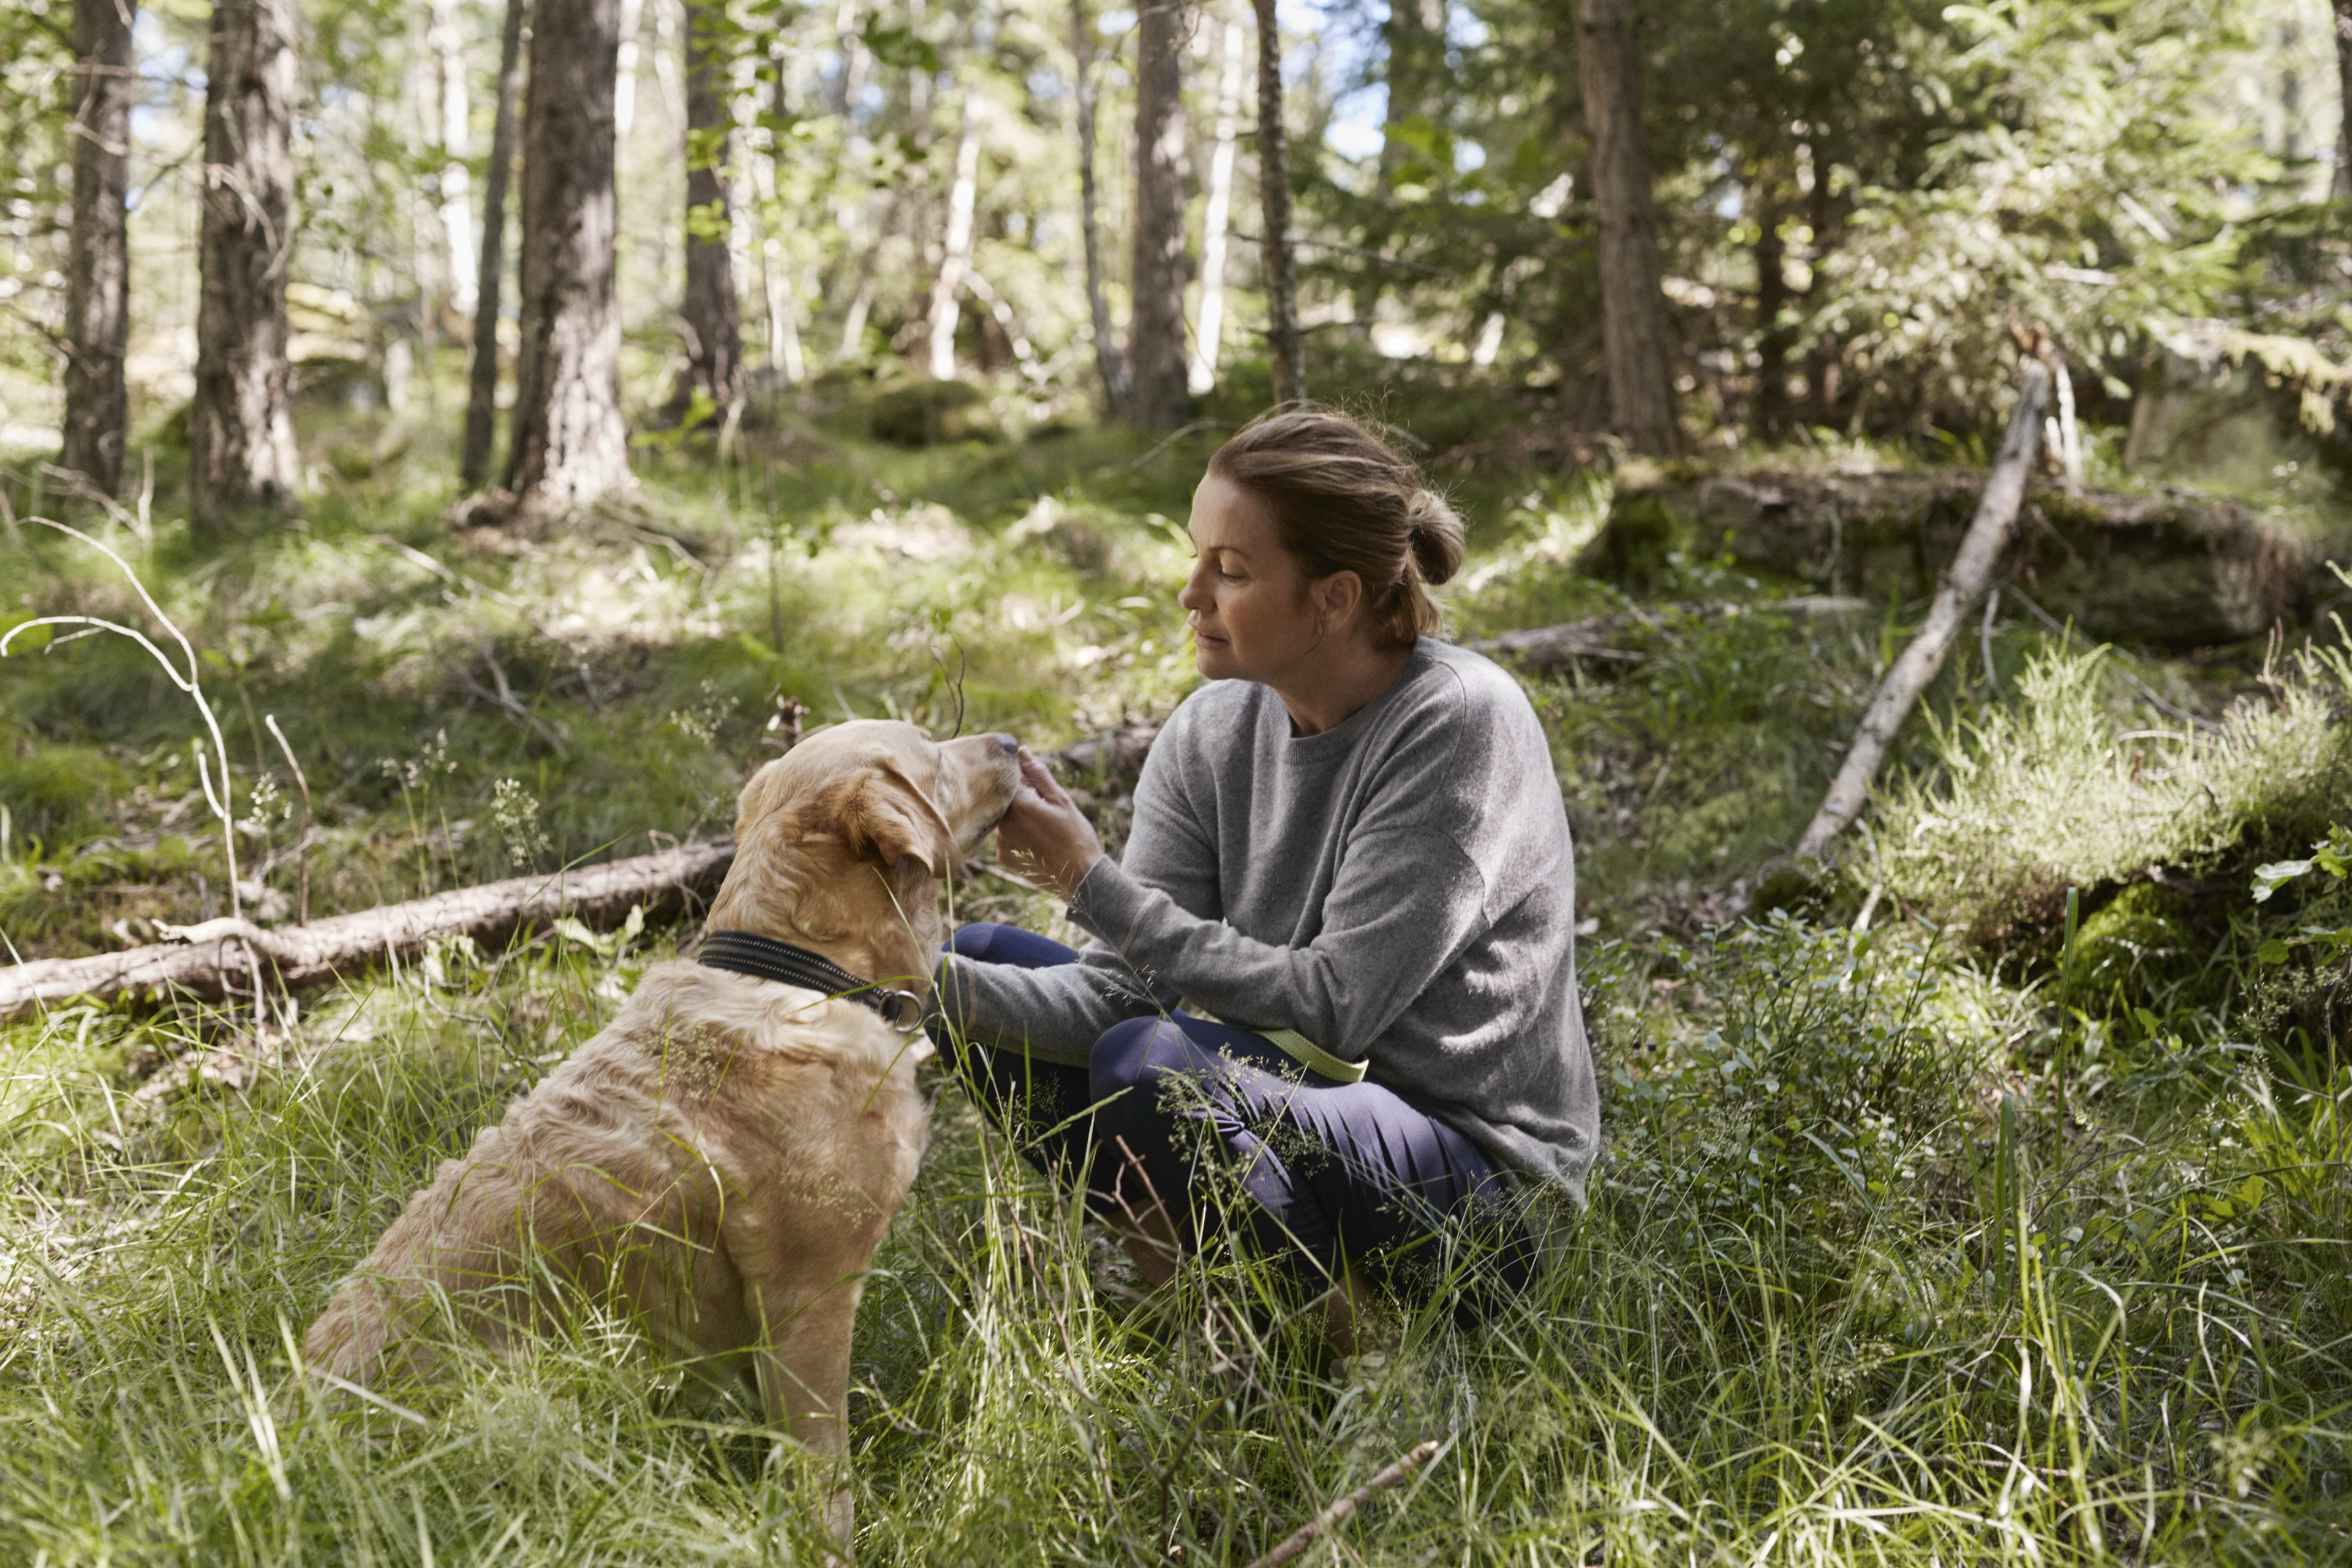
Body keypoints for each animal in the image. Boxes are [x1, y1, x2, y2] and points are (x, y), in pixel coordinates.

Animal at [306, 719, 1020, 1532]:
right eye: (932, 752)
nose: (1013, 742)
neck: (799, 974)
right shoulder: (807, 1298)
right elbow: (822, 1467)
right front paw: (833, 1536)